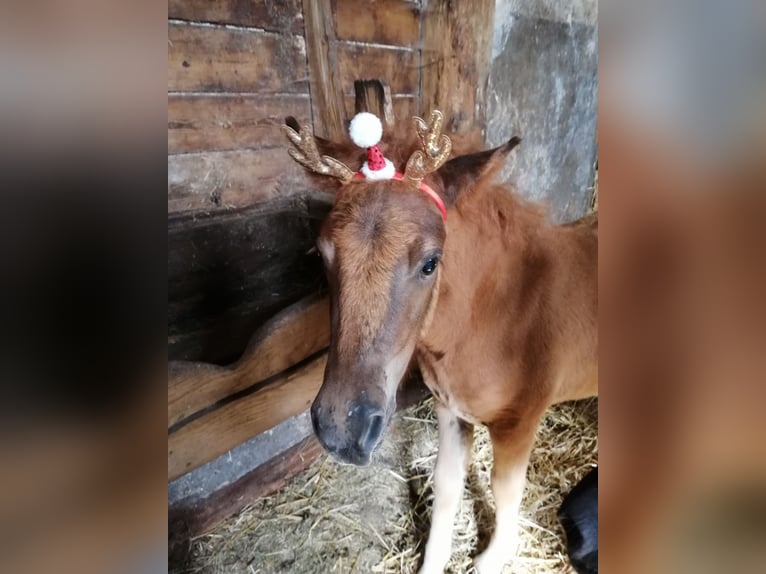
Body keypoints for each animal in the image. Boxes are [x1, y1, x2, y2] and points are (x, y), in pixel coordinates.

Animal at [284, 110, 600, 572]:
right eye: (322, 254)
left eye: (431, 263)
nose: (342, 426)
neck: (498, 316)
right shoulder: (451, 410)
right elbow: (447, 484)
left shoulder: (520, 421)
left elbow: (506, 490)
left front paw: (492, 558)